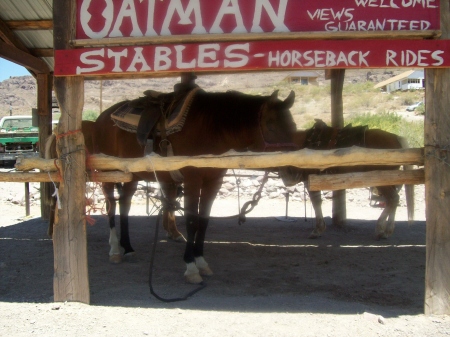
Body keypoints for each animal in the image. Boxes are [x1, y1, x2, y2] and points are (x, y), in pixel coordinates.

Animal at [282, 119, 414, 240]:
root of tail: (396, 138)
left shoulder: (310, 180)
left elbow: (316, 202)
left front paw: (318, 230)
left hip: (382, 180)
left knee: (393, 199)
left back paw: (382, 229)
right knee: (393, 200)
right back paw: (386, 230)